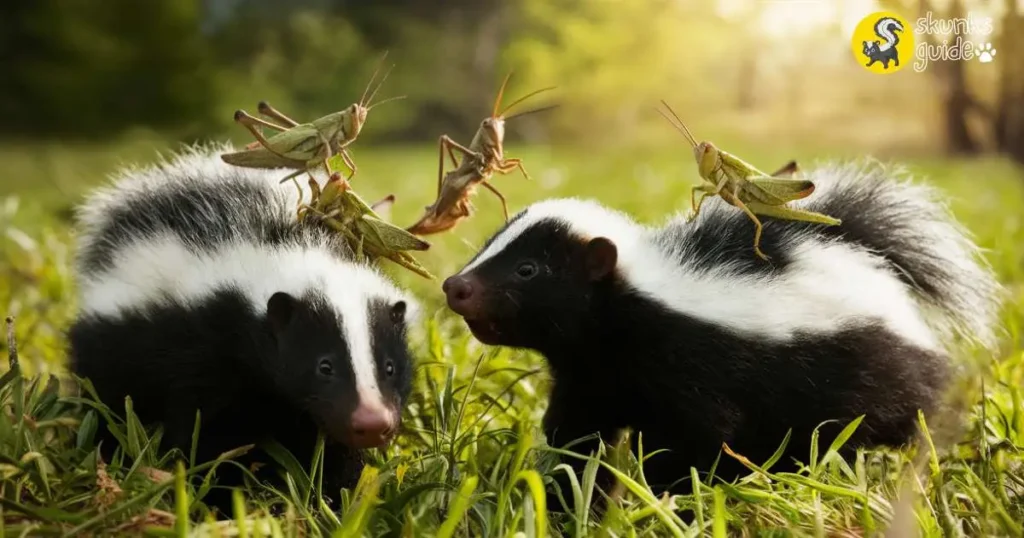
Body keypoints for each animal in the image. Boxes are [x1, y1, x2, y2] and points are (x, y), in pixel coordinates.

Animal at [68, 144, 419, 510]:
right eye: (324, 366)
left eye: (390, 367)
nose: (373, 422)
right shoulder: (205, 346)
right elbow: (210, 433)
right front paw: (220, 497)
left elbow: (333, 446)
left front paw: (336, 496)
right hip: (110, 343)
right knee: (106, 399)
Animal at [440, 159, 999, 504]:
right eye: (488, 246)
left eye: (529, 270)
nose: (454, 286)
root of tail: (854, 248)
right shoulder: (590, 380)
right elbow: (578, 438)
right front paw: (566, 498)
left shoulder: (692, 370)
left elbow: (688, 448)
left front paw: (672, 502)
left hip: (877, 367)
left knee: (905, 414)